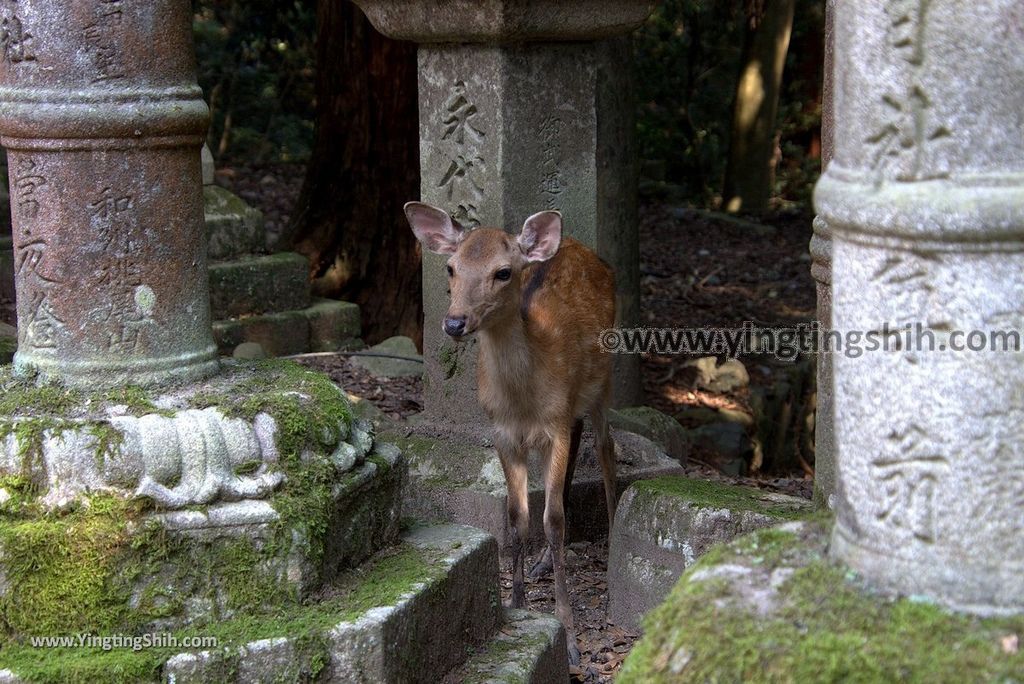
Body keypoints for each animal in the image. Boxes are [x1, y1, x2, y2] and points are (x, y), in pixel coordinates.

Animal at [405, 201, 614, 663]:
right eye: (450, 267)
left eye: (503, 272)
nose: (454, 323)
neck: (523, 399)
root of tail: (579, 245)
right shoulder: (503, 434)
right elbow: (518, 516)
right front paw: (518, 605)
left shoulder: (554, 426)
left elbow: (552, 519)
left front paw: (570, 640)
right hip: (572, 408)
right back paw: (542, 562)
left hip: (602, 383)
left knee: (607, 450)